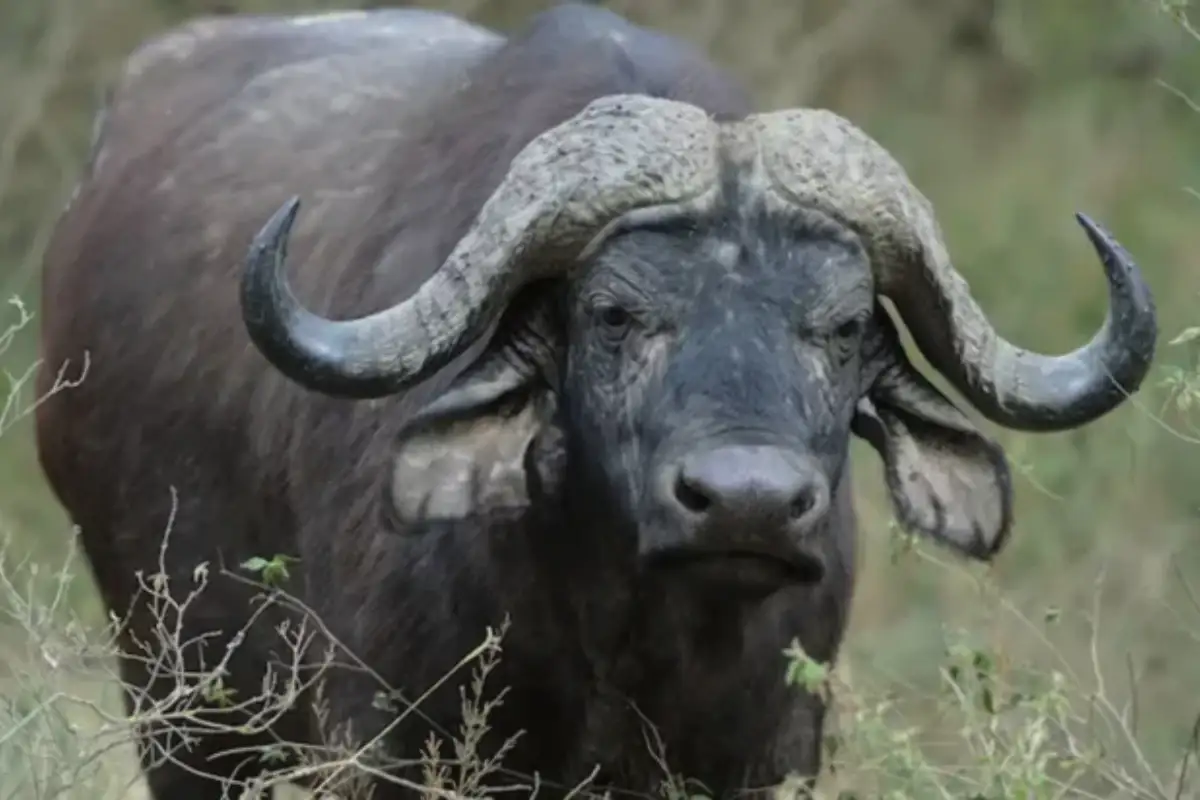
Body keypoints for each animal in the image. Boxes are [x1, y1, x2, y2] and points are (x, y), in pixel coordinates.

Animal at [33, 3, 1157, 799]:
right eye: (615, 314)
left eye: (842, 328)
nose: (748, 502)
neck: (629, 640)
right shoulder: (384, 736)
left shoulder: (771, 748)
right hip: (183, 700)